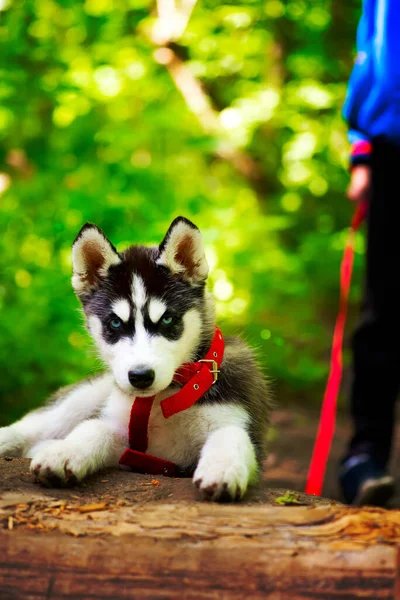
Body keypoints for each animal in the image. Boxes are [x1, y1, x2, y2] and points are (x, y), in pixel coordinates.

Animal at [0, 218, 272, 500]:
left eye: (167, 319)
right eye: (115, 323)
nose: (140, 377)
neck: (162, 399)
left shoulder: (239, 421)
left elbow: (232, 433)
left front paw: (223, 467)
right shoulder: (125, 438)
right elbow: (93, 428)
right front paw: (64, 452)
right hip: (85, 397)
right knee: (37, 424)